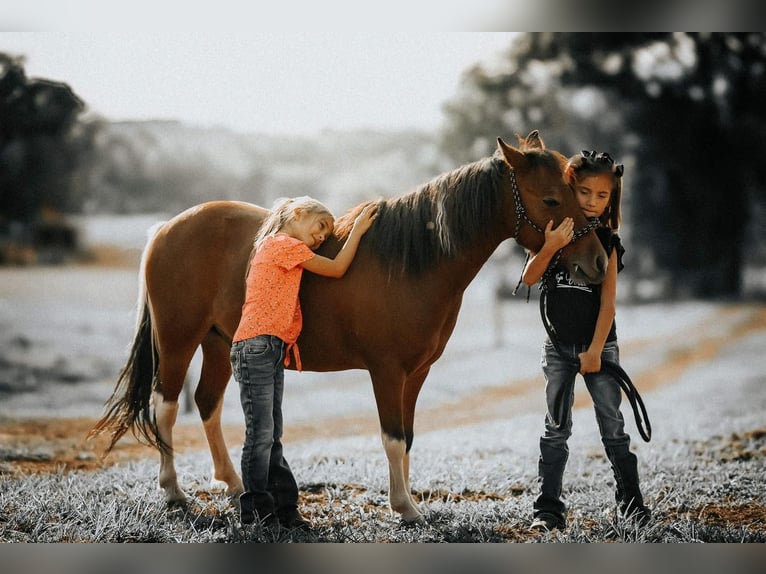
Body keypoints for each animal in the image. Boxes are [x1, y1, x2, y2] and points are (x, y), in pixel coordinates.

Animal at [91, 132, 608, 528]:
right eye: (550, 199)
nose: (598, 262)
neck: (416, 260)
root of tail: (165, 229)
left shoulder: (416, 374)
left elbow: (408, 437)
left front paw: (407, 501)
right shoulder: (387, 372)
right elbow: (392, 437)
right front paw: (405, 509)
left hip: (219, 344)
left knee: (206, 403)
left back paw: (234, 485)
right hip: (178, 341)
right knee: (165, 407)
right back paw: (174, 493)